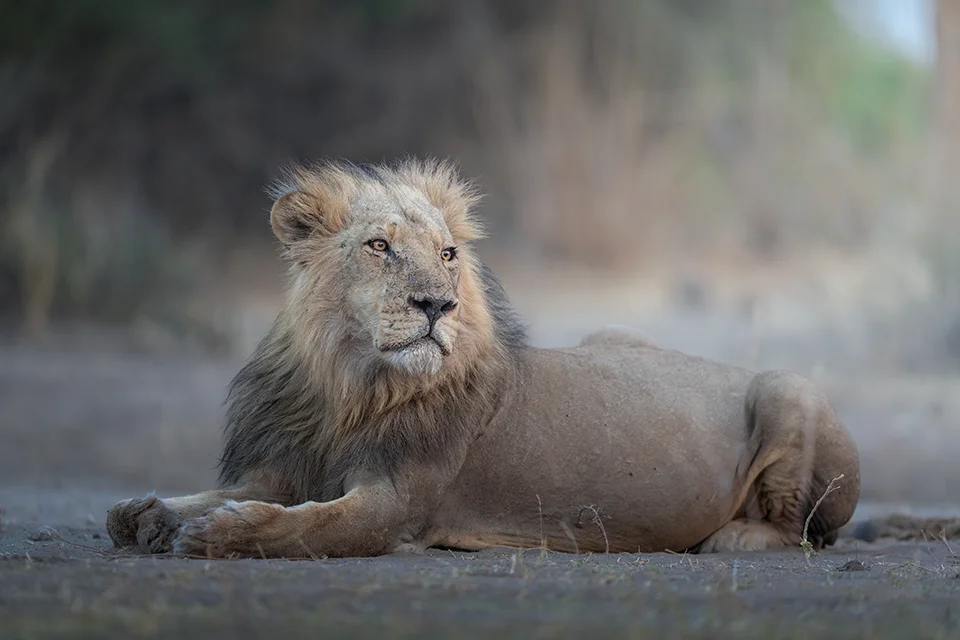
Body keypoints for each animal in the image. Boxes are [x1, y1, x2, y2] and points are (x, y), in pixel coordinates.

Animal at [106, 157, 860, 558]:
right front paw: (152, 512)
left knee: (800, 530)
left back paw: (734, 538)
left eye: (447, 254)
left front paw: (218, 534)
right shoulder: (285, 465)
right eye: (379, 246)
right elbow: (170, 504)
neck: (347, 388)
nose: (436, 305)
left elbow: (307, 526)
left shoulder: (395, 504)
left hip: (788, 389)